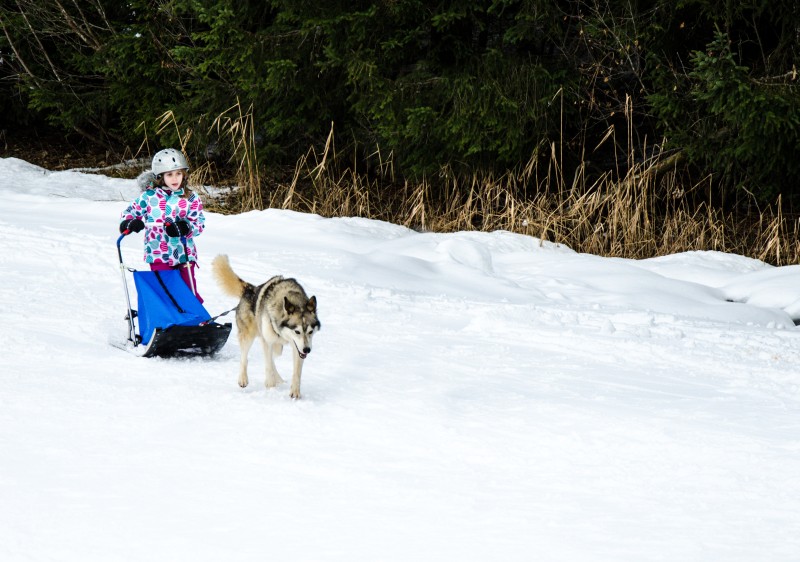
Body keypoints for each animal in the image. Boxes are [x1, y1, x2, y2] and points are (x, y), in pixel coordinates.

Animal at [211, 255, 320, 398]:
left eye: (311, 331)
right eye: (297, 331)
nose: (307, 350)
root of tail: (250, 289)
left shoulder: (297, 347)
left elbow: (296, 372)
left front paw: (295, 392)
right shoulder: (267, 340)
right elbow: (268, 365)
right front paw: (270, 385)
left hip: (278, 348)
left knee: (273, 359)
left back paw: (279, 379)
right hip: (249, 335)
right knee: (245, 358)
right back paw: (243, 379)